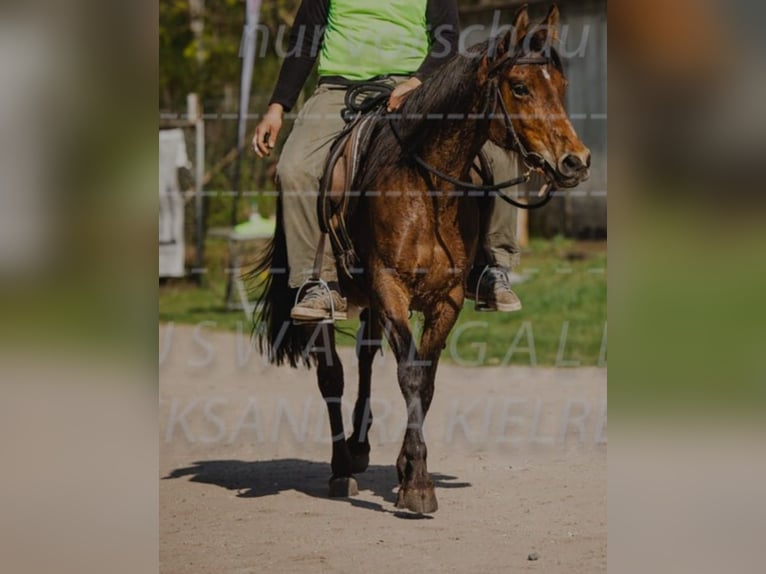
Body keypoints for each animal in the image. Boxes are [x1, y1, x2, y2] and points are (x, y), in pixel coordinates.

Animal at [255, 4, 592, 516]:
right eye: (519, 87)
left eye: (561, 84)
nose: (576, 162)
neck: (426, 187)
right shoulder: (390, 287)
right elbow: (410, 375)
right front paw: (417, 486)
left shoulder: (445, 298)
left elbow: (426, 380)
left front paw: (408, 471)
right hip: (329, 299)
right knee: (332, 374)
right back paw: (341, 467)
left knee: (366, 358)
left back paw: (359, 449)